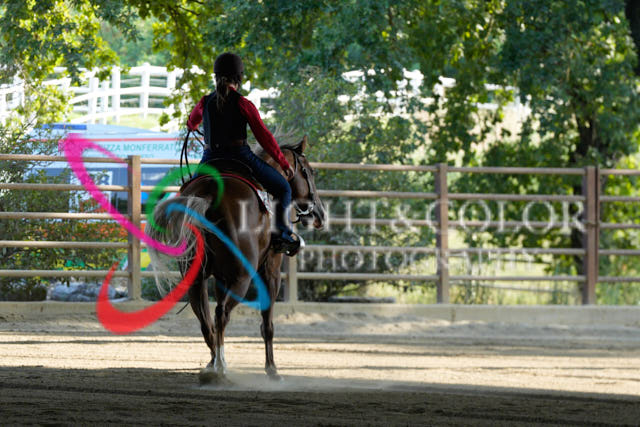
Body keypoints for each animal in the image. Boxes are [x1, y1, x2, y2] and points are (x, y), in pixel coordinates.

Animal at [147, 136, 326, 381]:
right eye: (309, 172)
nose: (320, 215)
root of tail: (210, 194)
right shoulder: (271, 270)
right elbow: (267, 323)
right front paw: (272, 369)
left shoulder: (221, 279)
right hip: (243, 277)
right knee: (221, 314)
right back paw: (221, 369)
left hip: (196, 279)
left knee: (206, 321)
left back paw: (212, 367)